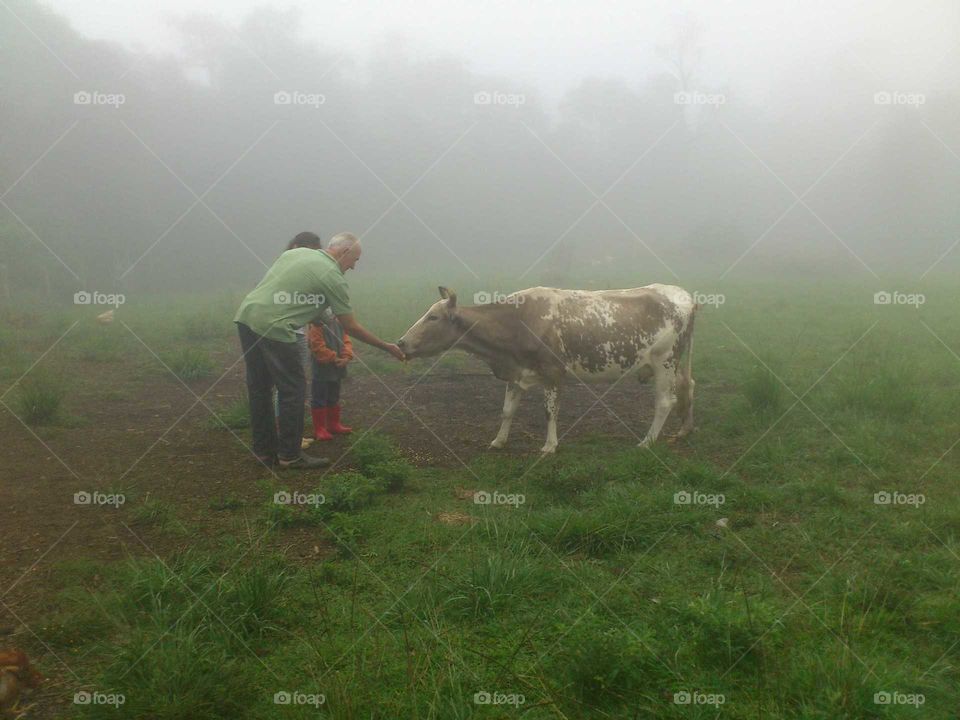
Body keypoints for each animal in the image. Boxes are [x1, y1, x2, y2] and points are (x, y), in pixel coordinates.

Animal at [398, 284, 696, 452]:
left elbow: (550, 411)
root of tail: (683, 294)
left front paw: (550, 445)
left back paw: (647, 441)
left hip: (664, 360)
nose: (401, 342)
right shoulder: (516, 372)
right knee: (687, 387)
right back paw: (684, 430)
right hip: (676, 363)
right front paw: (499, 441)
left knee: (665, 401)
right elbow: (507, 411)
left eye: (433, 317)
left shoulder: (553, 371)